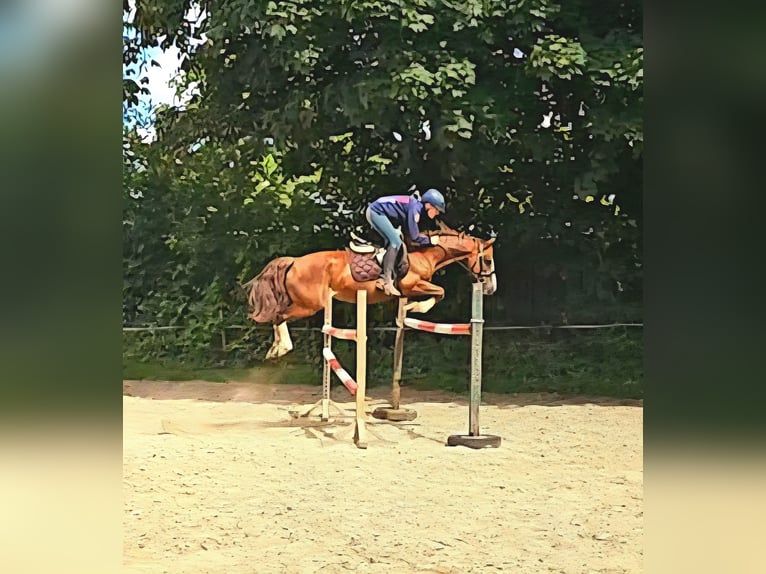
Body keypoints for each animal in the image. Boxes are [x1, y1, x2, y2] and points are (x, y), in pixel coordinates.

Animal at [243, 226, 497, 359]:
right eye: (487, 259)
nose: (491, 288)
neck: (423, 254)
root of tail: (294, 261)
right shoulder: (412, 284)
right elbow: (440, 292)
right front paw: (414, 307)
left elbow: (436, 293)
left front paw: (406, 311)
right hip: (309, 305)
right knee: (278, 315)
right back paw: (281, 348)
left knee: (279, 316)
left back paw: (276, 348)